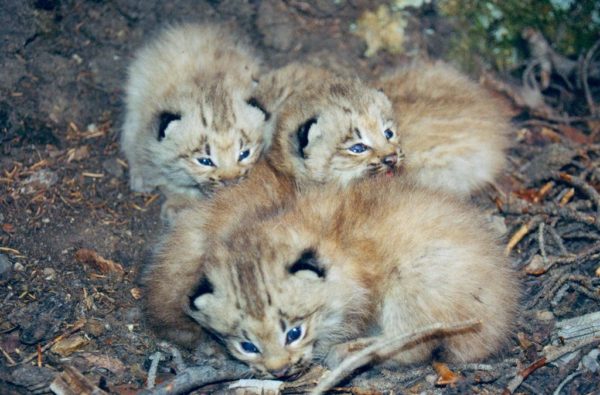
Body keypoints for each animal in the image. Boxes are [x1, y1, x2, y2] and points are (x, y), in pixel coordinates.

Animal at [145, 177, 516, 380]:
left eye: (294, 333)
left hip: (415, 279)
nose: (279, 370)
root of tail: (501, 311)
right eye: (247, 346)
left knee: (415, 344)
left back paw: (347, 353)